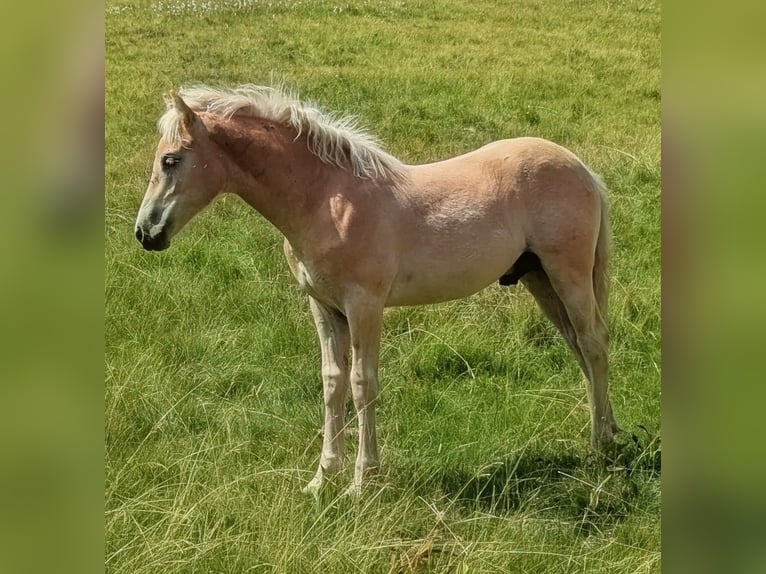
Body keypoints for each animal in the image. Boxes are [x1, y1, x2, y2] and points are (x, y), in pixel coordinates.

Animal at [135, 84, 620, 496]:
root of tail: (581, 168)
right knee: (577, 344)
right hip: (540, 279)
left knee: (593, 341)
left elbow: (362, 383)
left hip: (568, 273)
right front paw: (321, 478)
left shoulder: (364, 305)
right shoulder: (324, 307)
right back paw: (608, 430)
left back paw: (599, 445)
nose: (145, 232)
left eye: (171, 160)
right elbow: (332, 382)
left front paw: (360, 481)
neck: (327, 200)